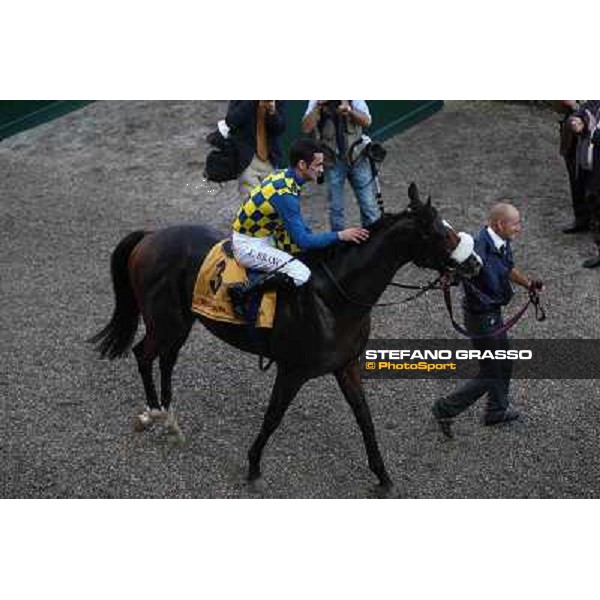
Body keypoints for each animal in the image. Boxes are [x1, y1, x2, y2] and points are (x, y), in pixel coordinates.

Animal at [90, 183, 482, 492]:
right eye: (440, 234)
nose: (475, 263)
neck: (335, 297)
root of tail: (150, 236)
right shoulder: (293, 370)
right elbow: (273, 417)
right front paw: (252, 466)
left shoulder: (347, 365)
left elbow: (364, 417)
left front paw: (382, 475)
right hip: (165, 321)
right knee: (143, 354)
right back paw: (154, 414)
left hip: (182, 323)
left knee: (166, 359)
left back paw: (171, 420)